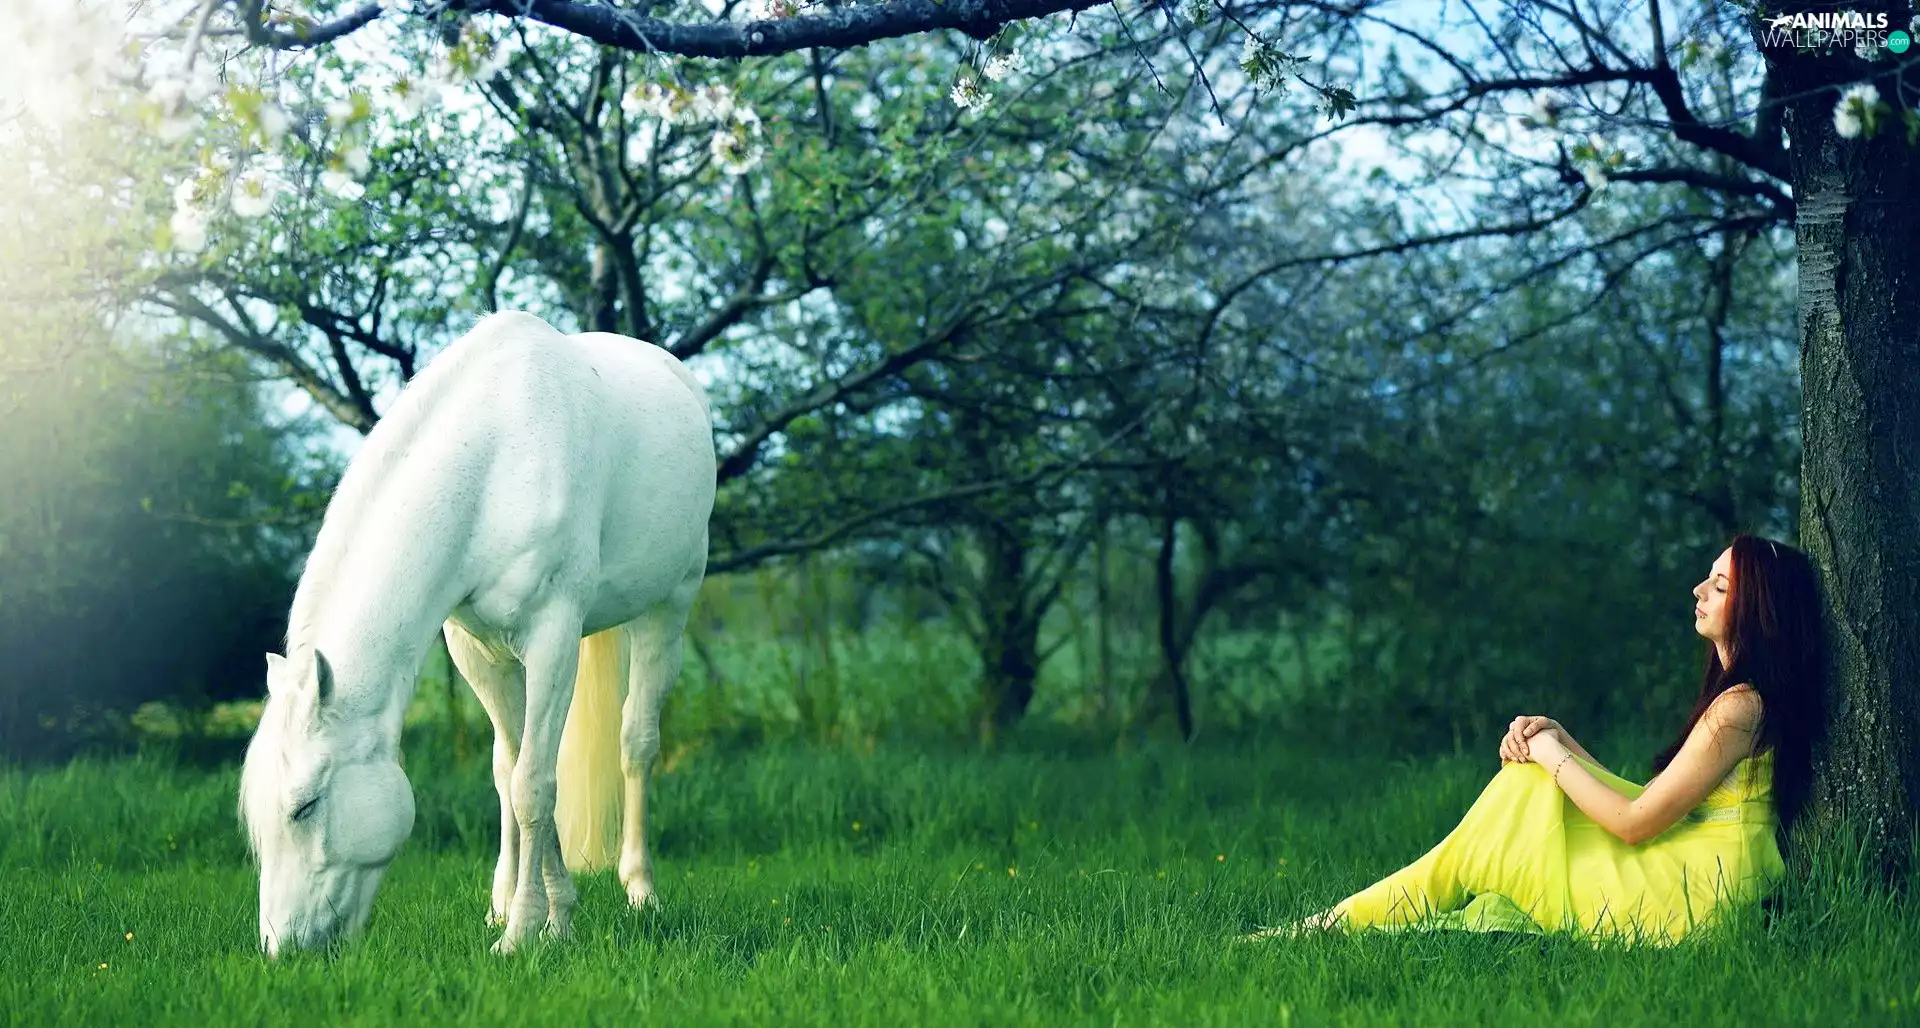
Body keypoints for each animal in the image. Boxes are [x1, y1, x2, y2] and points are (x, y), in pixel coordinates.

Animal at [238, 310, 716, 955]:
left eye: (305, 807)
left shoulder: (552, 638)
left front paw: (523, 934)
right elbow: (510, 773)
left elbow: (534, 784)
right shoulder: (476, 651)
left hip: (669, 606)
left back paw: (641, 891)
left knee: (636, 742)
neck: (492, 463)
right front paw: (550, 916)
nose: (281, 948)